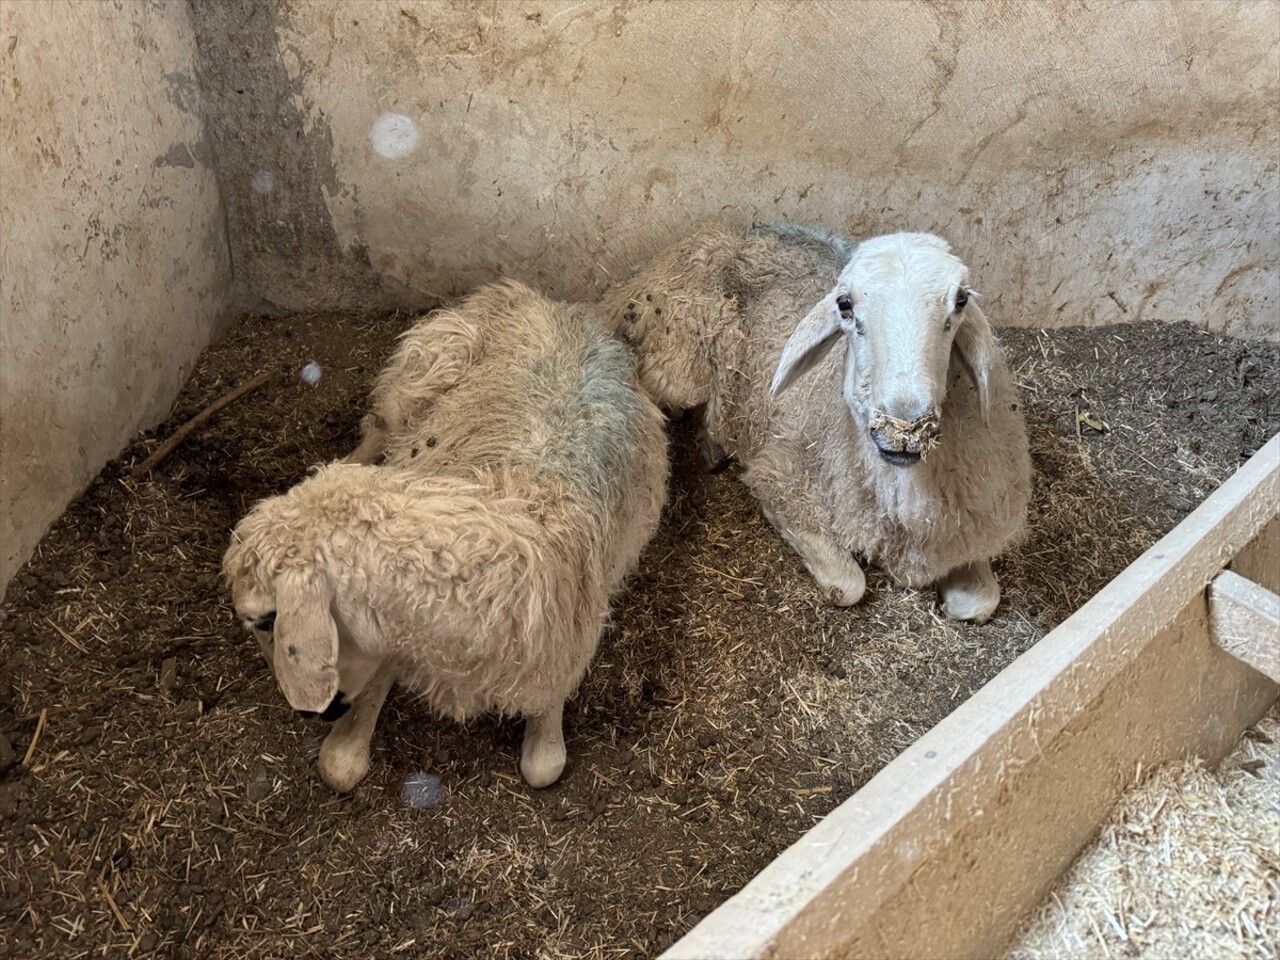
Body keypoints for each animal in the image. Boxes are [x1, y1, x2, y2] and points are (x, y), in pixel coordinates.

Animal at [222, 281, 670, 793]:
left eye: (265, 620)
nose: (311, 712)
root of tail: (556, 304)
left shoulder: (558, 658)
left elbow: (544, 767)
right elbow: (340, 767)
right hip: (424, 368)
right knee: (379, 428)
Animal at [599, 224, 1029, 624]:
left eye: (961, 301)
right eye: (845, 305)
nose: (904, 429)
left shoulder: (968, 534)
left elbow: (981, 602)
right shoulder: (784, 478)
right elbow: (848, 585)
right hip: (675, 366)